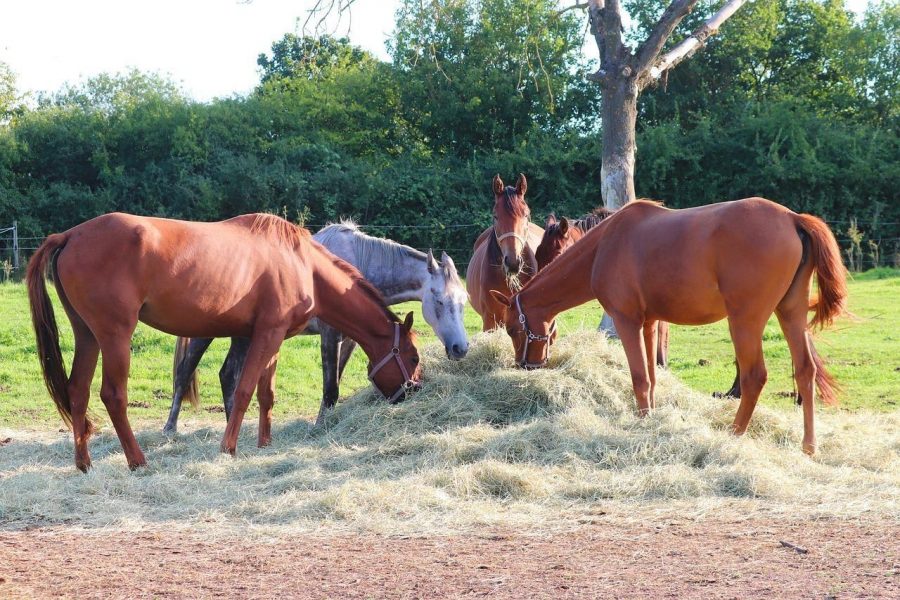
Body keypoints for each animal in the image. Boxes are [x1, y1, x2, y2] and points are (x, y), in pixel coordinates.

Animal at [26, 213, 422, 472]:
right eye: (413, 357)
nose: (413, 391)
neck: (302, 263)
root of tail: (70, 235)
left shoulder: (269, 336)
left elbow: (265, 394)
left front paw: (264, 444)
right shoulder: (267, 335)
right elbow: (244, 390)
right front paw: (229, 448)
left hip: (87, 336)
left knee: (77, 391)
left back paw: (84, 464)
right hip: (115, 337)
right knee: (112, 396)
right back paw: (138, 461)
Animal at [164, 220, 469, 431]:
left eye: (463, 301)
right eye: (439, 300)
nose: (461, 348)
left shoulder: (350, 339)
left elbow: (336, 381)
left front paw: (324, 421)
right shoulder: (330, 335)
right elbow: (330, 388)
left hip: (242, 335)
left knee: (227, 374)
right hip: (207, 334)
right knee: (185, 372)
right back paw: (170, 428)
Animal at [490, 198, 846, 455]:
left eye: (512, 329)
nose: (526, 365)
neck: (605, 244)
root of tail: (792, 218)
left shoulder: (627, 321)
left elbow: (638, 378)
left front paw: (642, 422)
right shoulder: (649, 323)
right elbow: (651, 378)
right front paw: (651, 419)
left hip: (745, 321)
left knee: (754, 376)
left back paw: (734, 434)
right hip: (791, 313)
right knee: (806, 371)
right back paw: (809, 446)